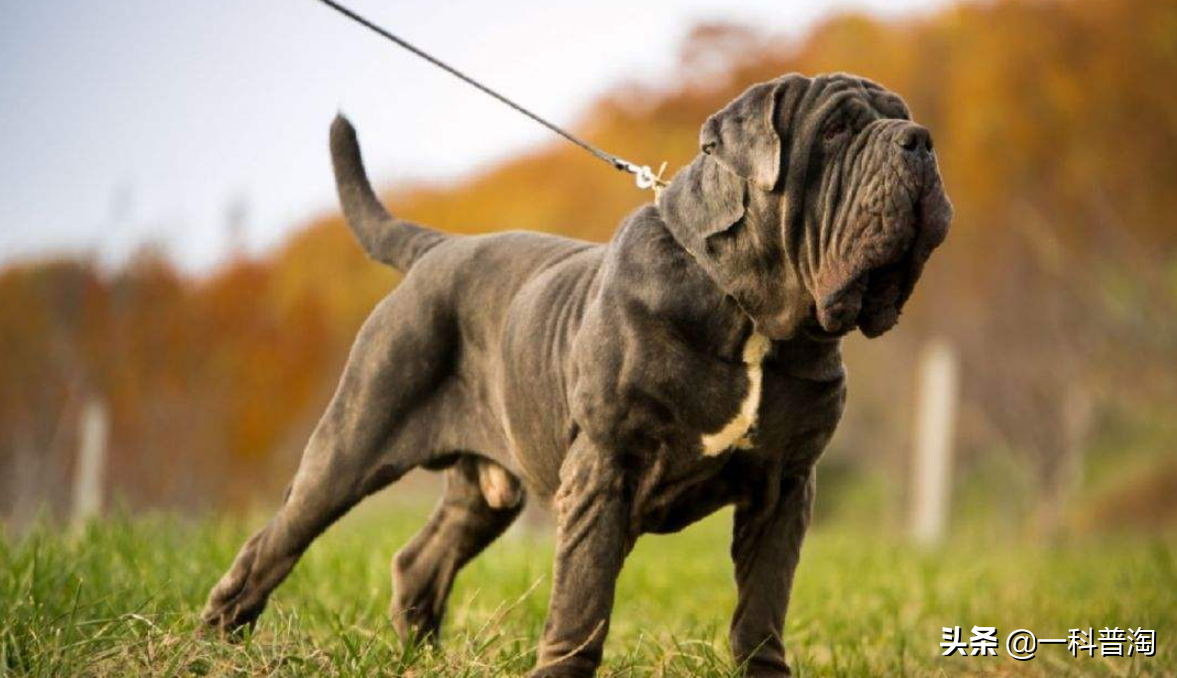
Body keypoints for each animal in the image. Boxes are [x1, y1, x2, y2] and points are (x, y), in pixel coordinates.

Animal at [202, 71, 951, 673]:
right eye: (836, 130)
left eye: (901, 116)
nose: (919, 139)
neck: (750, 315)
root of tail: (436, 248)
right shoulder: (604, 469)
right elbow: (583, 600)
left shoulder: (785, 486)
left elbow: (761, 610)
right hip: (352, 442)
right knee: (273, 544)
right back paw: (215, 642)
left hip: (484, 491)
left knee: (420, 562)